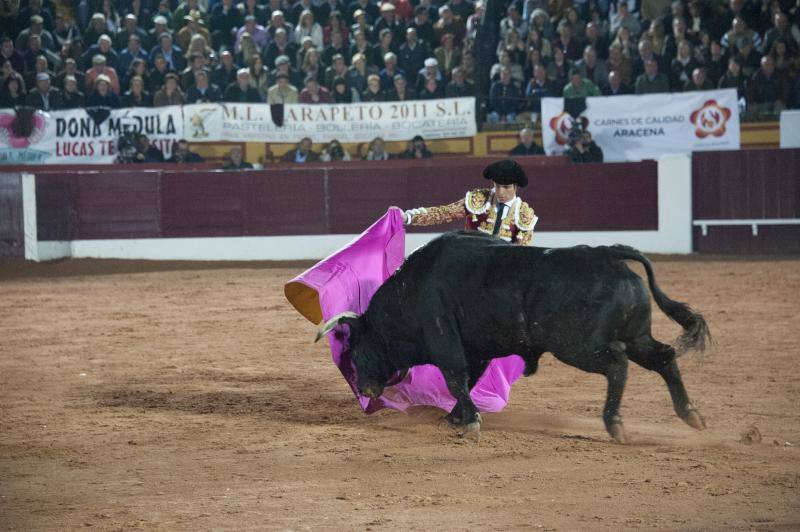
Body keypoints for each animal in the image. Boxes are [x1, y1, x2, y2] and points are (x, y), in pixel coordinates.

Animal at [316, 231, 708, 442]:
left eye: (356, 349)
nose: (364, 389)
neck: (407, 293)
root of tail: (607, 254)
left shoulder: (445, 342)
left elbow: (456, 380)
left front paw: (470, 424)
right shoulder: (476, 351)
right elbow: (468, 383)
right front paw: (455, 419)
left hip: (576, 345)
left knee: (617, 365)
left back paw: (616, 424)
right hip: (637, 335)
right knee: (664, 357)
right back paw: (691, 415)